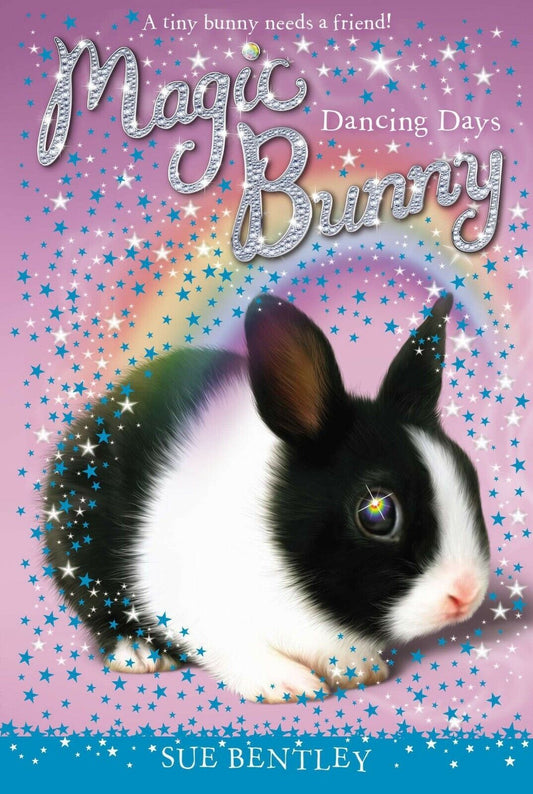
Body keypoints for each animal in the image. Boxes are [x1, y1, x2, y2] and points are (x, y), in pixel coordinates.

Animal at [43, 291, 490, 703]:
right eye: (377, 513)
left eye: (469, 475)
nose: (466, 593)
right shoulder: (193, 604)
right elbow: (234, 648)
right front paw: (288, 685)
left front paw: (360, 668)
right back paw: (137, 652)